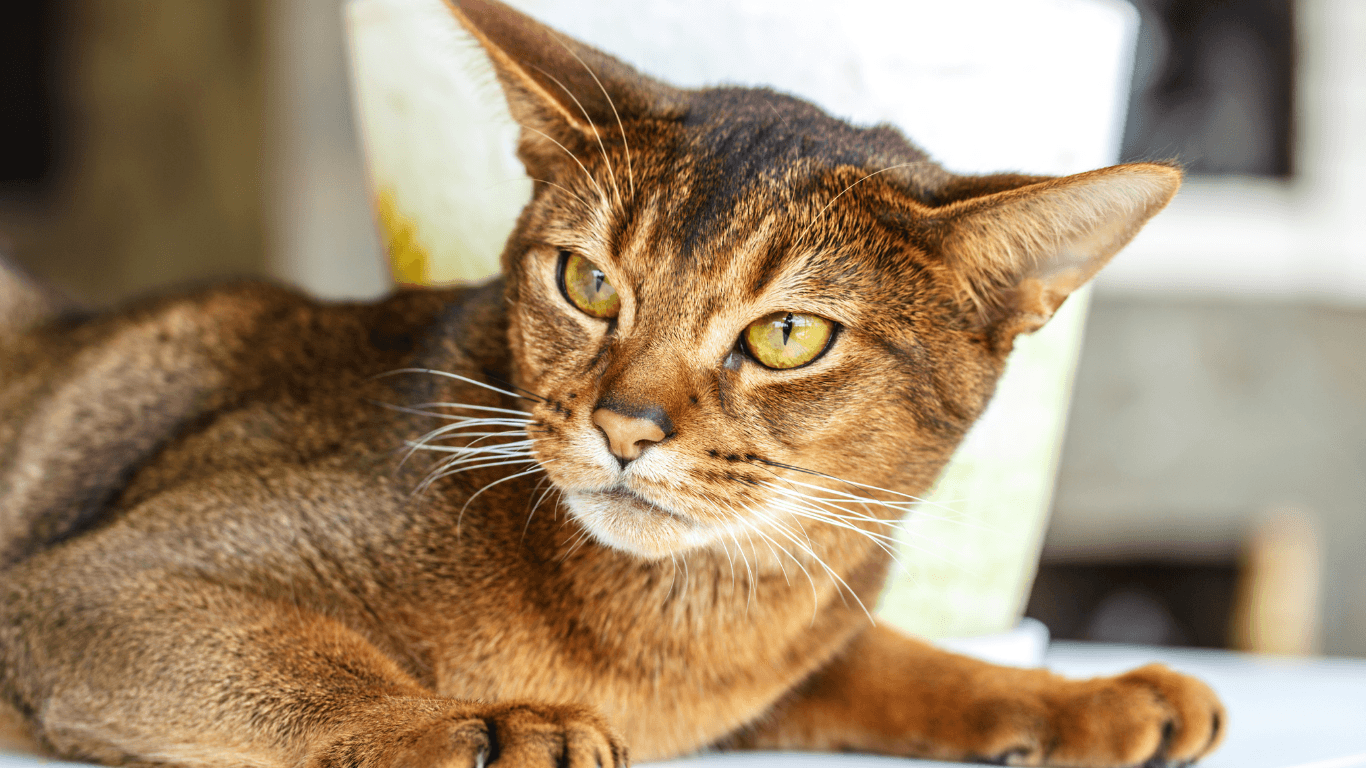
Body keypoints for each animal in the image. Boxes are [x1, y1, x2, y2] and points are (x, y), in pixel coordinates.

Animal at [0, 1, 1223, 765]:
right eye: (588, 282)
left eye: (787, 336)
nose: (624, 427)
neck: (681, 635)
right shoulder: (90, 582)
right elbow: (314, 665)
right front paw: (485, 729)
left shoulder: (775, 670)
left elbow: (901, 662)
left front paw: (1100, 697)